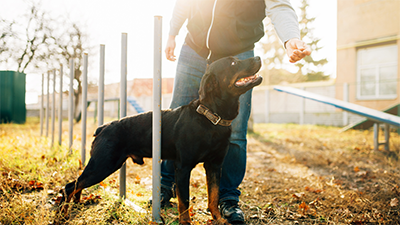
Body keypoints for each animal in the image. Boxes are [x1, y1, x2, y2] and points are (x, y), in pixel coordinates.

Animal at [57, 55, 260, 224]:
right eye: (233, 63)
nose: (258, 57)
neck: (212, 119)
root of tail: (104, 127)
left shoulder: (215, 165)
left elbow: (214, 196)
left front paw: (219, 219)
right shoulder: (183, 167)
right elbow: (184, 201)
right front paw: (186, 223)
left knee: (76, 185)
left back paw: (76, 204)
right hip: (103, 165)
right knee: (69, 186)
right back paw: (63, 214)